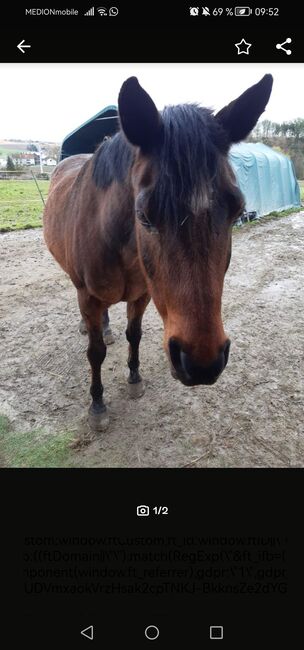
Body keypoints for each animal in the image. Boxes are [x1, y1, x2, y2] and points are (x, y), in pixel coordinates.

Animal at [43, 73, 274, 428]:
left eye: (237, 210)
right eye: (144, 215)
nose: (202, 363)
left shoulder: (142, 295)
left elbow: (134, 335)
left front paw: (134, 379)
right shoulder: (90, 297)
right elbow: (95, 353)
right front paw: (97, 405)